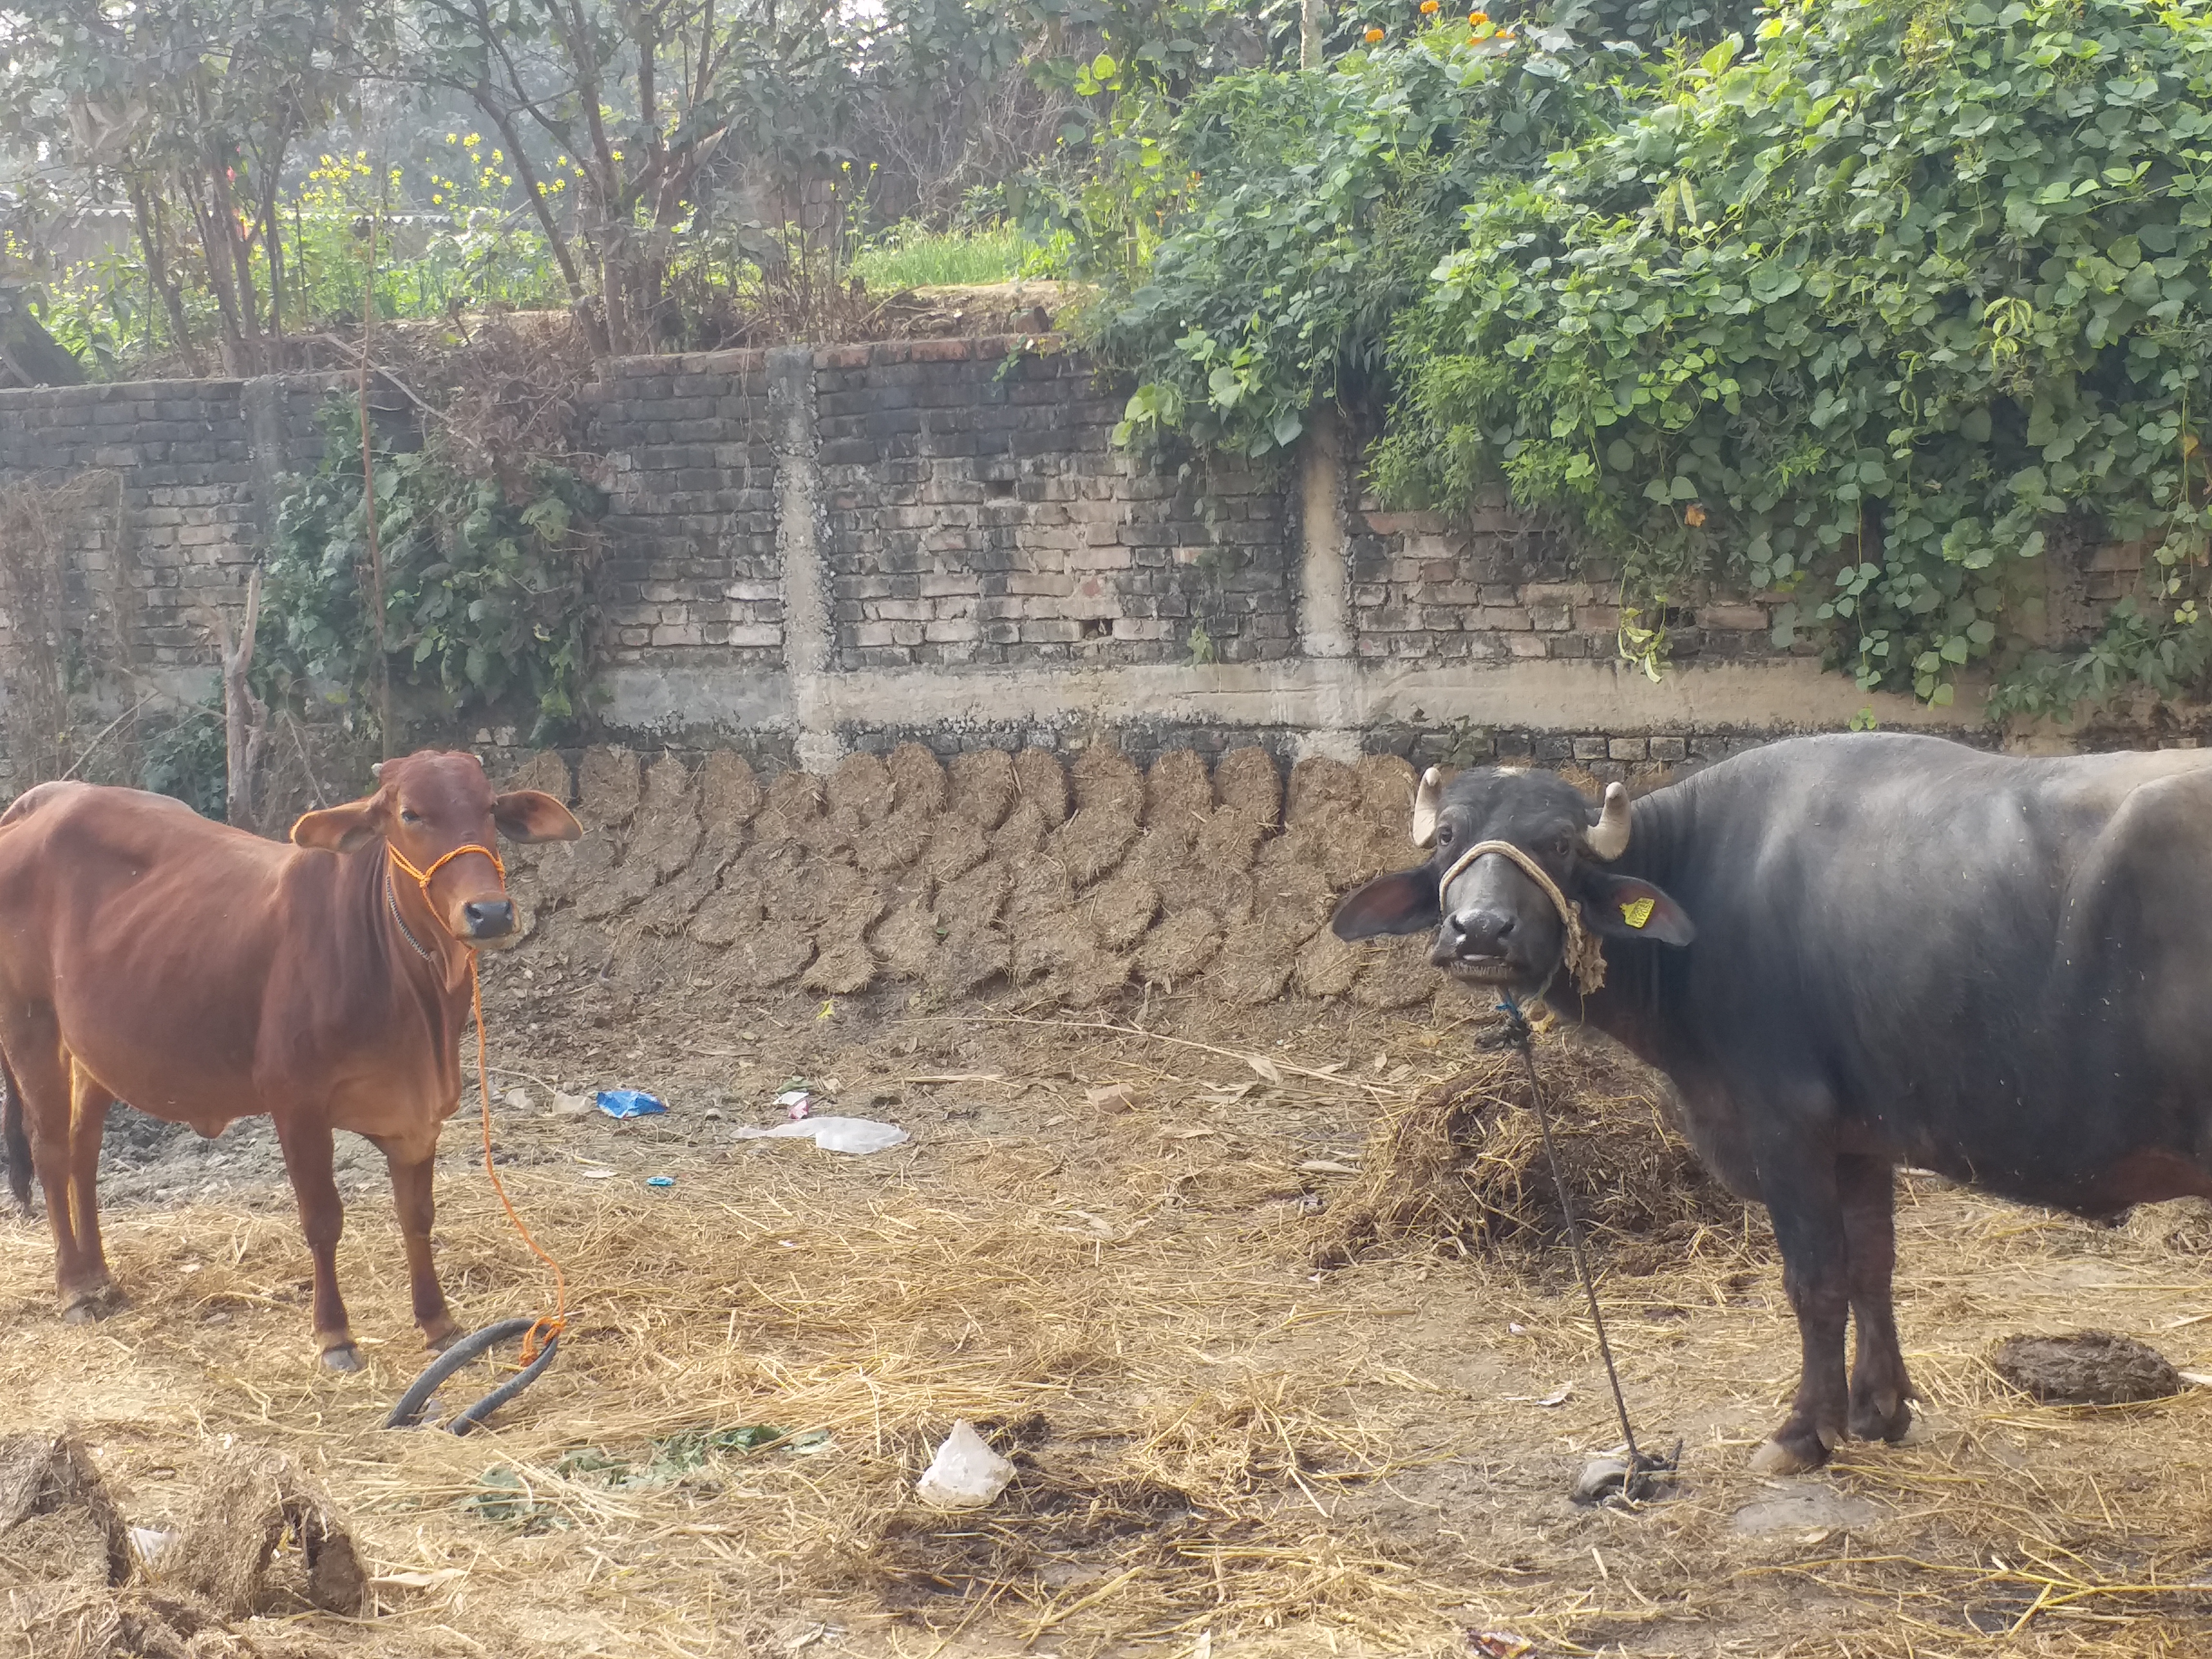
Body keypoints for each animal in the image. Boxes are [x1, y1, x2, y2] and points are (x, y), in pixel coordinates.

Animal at [0, 756, 579, 1380]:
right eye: (410, 814)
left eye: (490, 808)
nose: (489, 912)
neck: (410, 982)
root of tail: (44, 800)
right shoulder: (297, 1105)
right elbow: (322, 1220)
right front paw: (335, 1335)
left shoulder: (419, 1115)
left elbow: (418, 1215)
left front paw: (438, 1322)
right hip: (30, 1024)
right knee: (51, 1150)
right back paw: (75, 1288)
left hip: (93, 1050)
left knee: (83, 1151)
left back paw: (99, 1276)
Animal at [1327, 734, 2212, 1478]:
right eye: (1449, 837)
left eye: (1559, 844)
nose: (1479, 931)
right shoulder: (1859, 1137)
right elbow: (1871, 1264)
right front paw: (1878, 1409)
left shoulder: (1785, 1126)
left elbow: (1813, 1280)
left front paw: (1803, 1432)